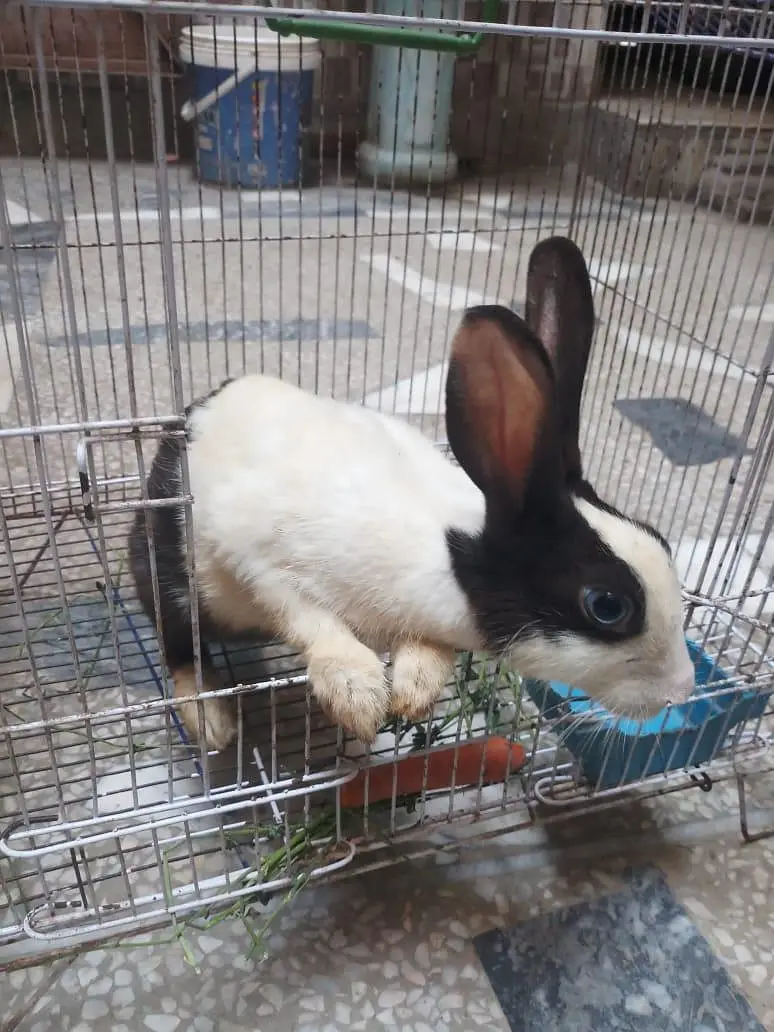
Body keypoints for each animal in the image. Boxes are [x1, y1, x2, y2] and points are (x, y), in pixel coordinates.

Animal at [128, 236, 696, 752]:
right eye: (607, 605)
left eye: (662, 538)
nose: (682, 691)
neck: (449, 554)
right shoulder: (256, 557)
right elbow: (307, 617)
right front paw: (357, 695)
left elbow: (428, 650)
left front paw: (414, 692)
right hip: (169, 576)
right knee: (178, 648)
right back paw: (211, 720)